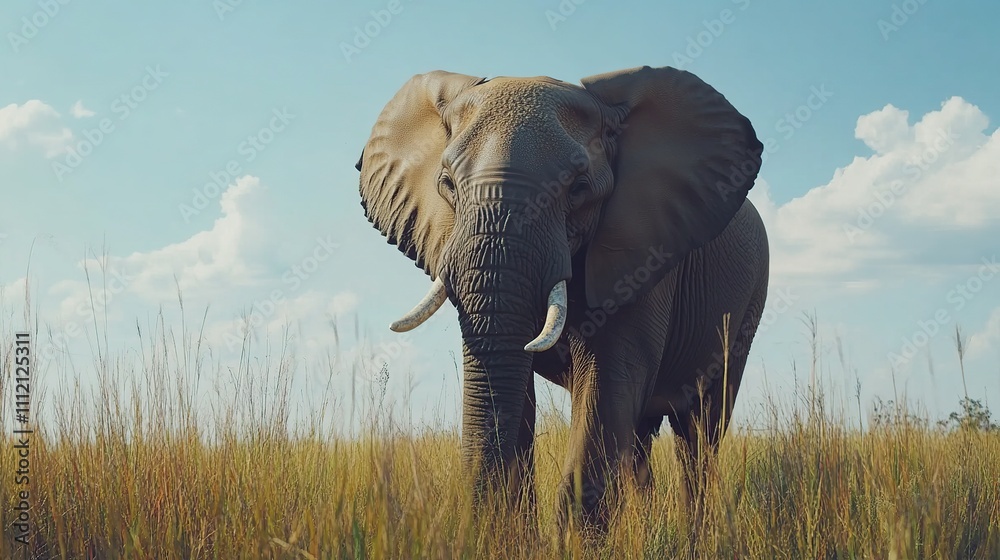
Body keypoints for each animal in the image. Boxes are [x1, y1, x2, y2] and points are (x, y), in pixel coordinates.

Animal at [354, 65, 769, 531]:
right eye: (447, 185)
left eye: (578, 189)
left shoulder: (645, 250)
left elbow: (608, 380)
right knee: (642, 433)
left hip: (748, 305)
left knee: (698, 433)